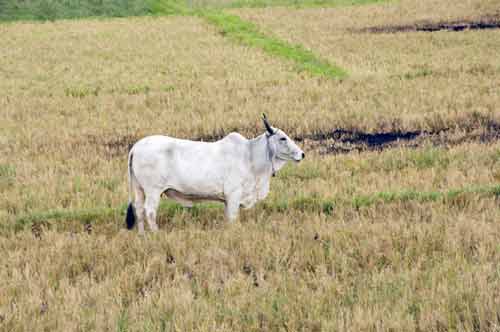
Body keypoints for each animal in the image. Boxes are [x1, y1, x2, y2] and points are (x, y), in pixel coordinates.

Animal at [125, 115, 304, 233]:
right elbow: (233, 218)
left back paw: (142, 235)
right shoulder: (234, 195)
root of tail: (136, 147)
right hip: (153, 190)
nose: (301, 154)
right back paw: (156, 233)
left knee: (139, 209)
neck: (250, 155)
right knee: (149, 211)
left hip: (139, 189)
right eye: (282, 138)